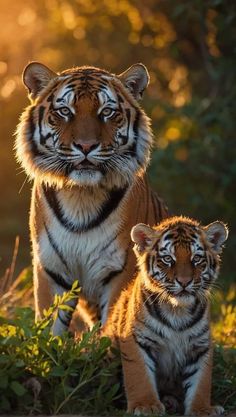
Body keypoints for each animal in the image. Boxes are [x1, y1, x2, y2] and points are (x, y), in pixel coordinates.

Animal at [15, 62, 168, 334]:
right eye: (65, 111)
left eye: (107, 112)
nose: (86, 146)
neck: (80, 195)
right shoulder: (51, 270)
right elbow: (49, 330)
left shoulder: (119, 271)